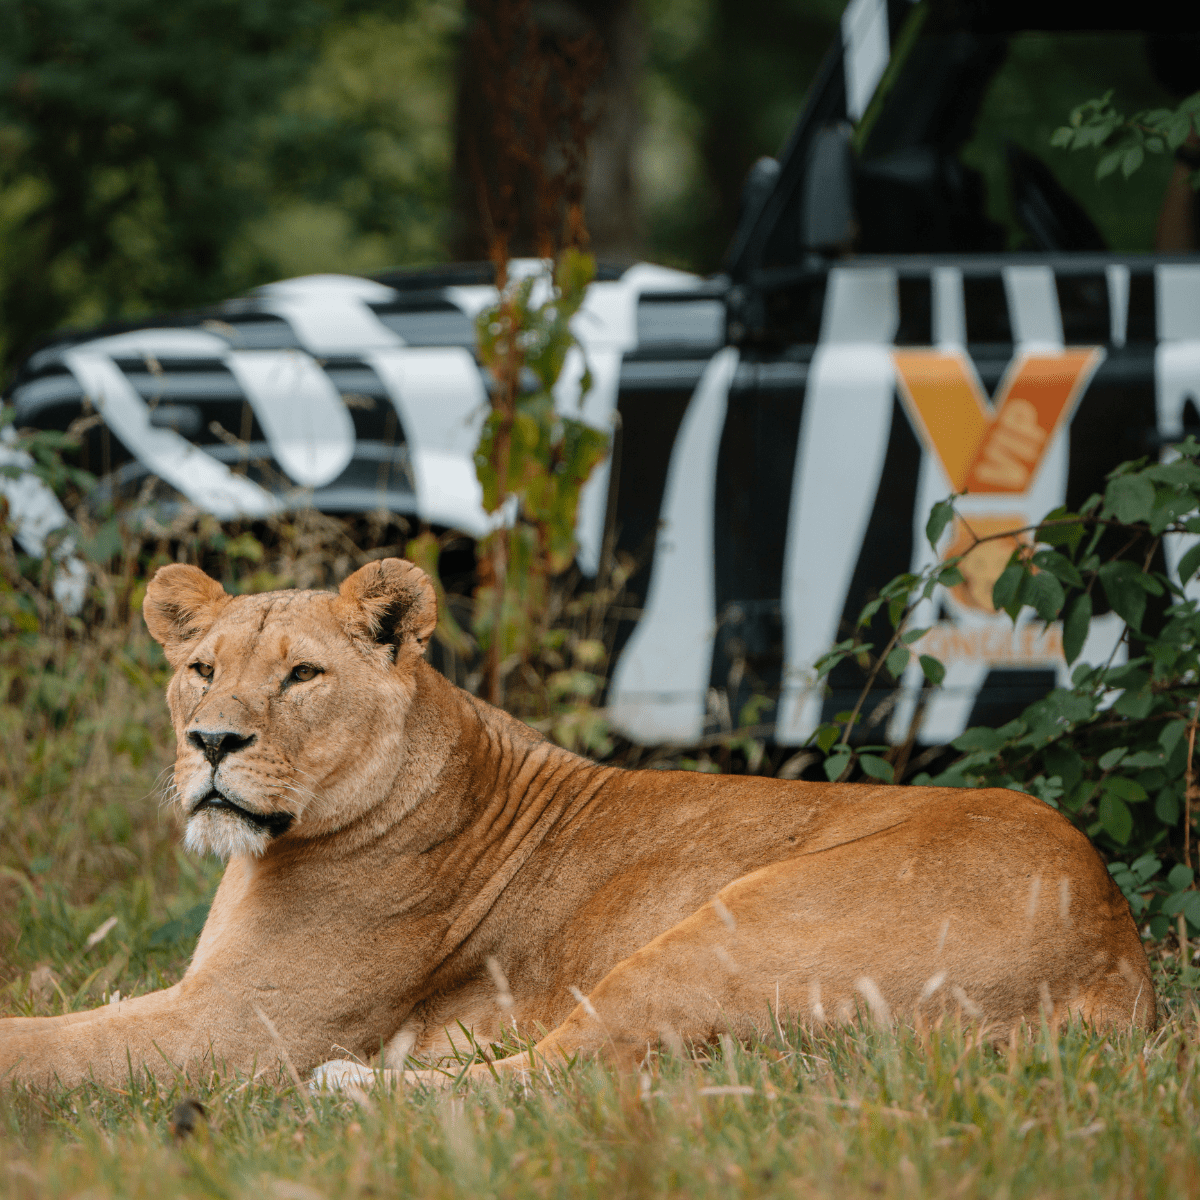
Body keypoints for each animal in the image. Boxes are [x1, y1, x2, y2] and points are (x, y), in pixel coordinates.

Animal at [0, 559, 1154, 1091]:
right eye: (201, 669)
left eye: (301, 676)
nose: (212, 742)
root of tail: (1120, 956)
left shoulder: (237, 1029)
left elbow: (48, 1046)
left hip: (722, 931)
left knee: (553, 1079)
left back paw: (346, 1088)